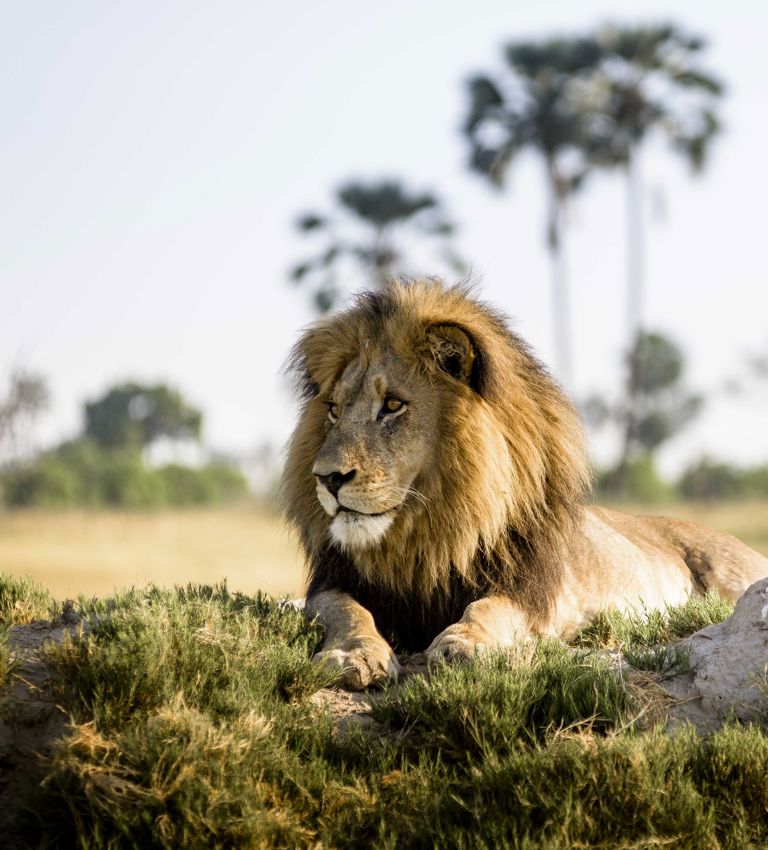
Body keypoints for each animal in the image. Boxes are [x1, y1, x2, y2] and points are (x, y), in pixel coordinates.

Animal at [281, 279, 768, 690]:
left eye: (394, 405)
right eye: (333, 410)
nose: (328, 478)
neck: (426, 534)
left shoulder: (528, 592)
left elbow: (488, 609)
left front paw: (464, 645)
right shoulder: (331, 581)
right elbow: (347, 611)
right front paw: (354, 654)